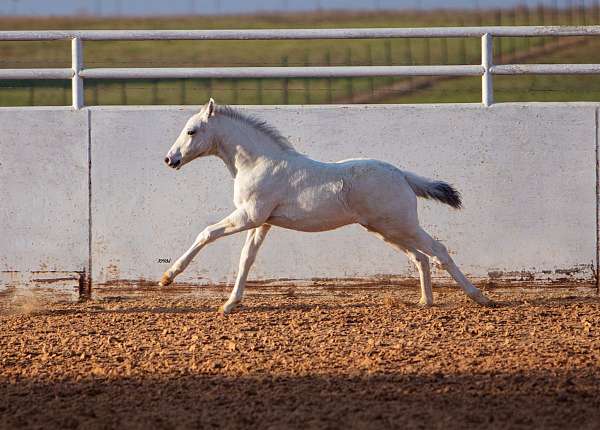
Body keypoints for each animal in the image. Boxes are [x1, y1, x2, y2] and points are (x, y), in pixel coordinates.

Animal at [161, 99, 492, 314]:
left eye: (191, 131)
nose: (169, 159)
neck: (258, 163)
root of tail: (401, 174)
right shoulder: (262, 223)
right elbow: (246, 260)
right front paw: (230, 304)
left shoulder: (248, 217)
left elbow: (206, 233)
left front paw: (168, 277)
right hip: (385, 230)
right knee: (421, 257)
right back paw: (426, 301)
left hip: (402, 225)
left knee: (438, 251)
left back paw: (480, 297)